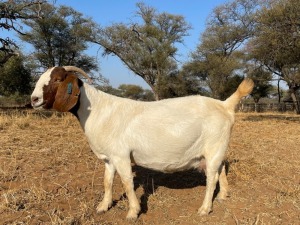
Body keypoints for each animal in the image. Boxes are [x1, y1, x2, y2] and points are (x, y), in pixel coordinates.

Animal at [31, 65, 254, 220]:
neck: (99, 110)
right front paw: (103, 206)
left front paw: (133, 212)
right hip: (216, 150)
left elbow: (127, 183)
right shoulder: (109, 158)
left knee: (211, 179)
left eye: (57, 79)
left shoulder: (121, 155)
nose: (34, 99)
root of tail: (225, 105)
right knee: (221, 169)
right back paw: (223, 195)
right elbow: (107, 182)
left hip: (215, 147)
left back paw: (205, 208)